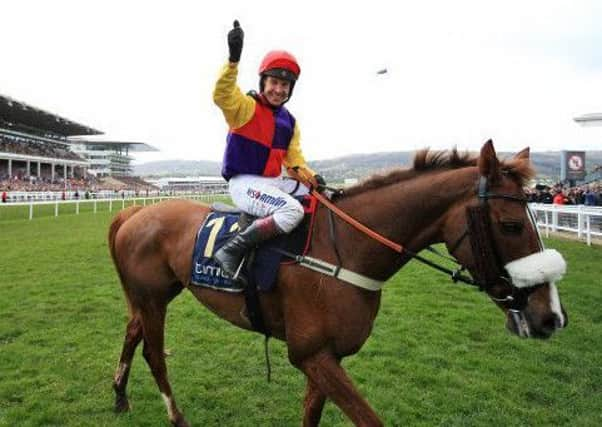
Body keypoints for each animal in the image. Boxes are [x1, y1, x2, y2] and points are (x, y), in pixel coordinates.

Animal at [110, 141, 564, 427]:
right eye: (511, 225)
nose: (552, 317)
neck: (343, 249)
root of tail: (133, 212)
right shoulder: (310, 354)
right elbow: (369, 419)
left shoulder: (329, 357)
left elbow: (311, 415)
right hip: (153, 299)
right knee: (154, 353)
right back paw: (176, 416)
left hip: (152, 296)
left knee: (131, 332)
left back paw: (119, 395)